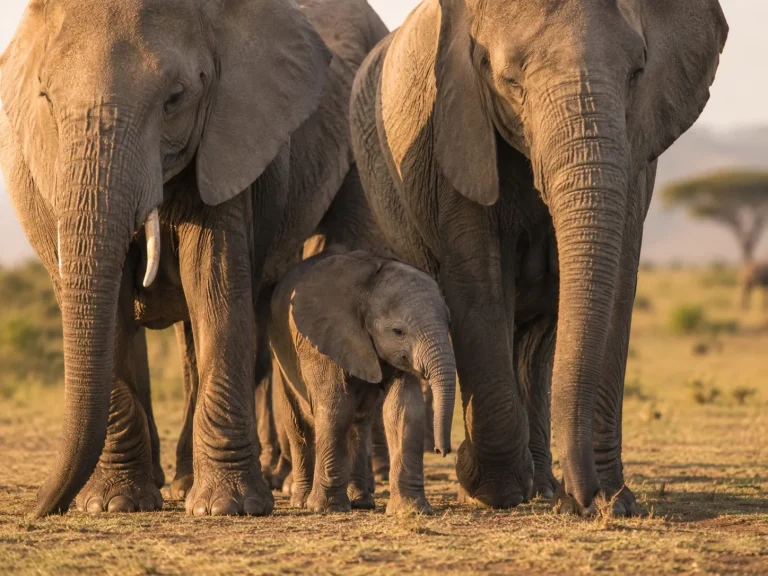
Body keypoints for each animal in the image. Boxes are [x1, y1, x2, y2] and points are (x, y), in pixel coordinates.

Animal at [0, 0, 334, 516]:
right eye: (47, 100)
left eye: (175, 98)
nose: (38, 511)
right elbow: (114, 313)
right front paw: (112, 504)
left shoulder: (226, 144)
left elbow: (215, 290)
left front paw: (226, 507)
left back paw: (184, 485)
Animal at [270, 249, 456, 514]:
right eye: (398, 332)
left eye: (449, 323)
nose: (442, 450)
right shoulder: (324, 340)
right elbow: (335, 407)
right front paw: (327, 508)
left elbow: (403, 409)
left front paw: (411, 509)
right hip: (280, 354)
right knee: (298, 424)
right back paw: (301, 500)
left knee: (359, 422)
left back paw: (361, 501)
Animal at [349, 0, 727, 514]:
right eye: (511, 81)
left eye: (637, 73)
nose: (587, 500)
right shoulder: (453, 133)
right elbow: (479, 283)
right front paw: (492, 488)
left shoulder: (638, 148)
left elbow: (619, 282)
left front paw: (614, 500)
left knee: (536, 341)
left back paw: (544, 486)